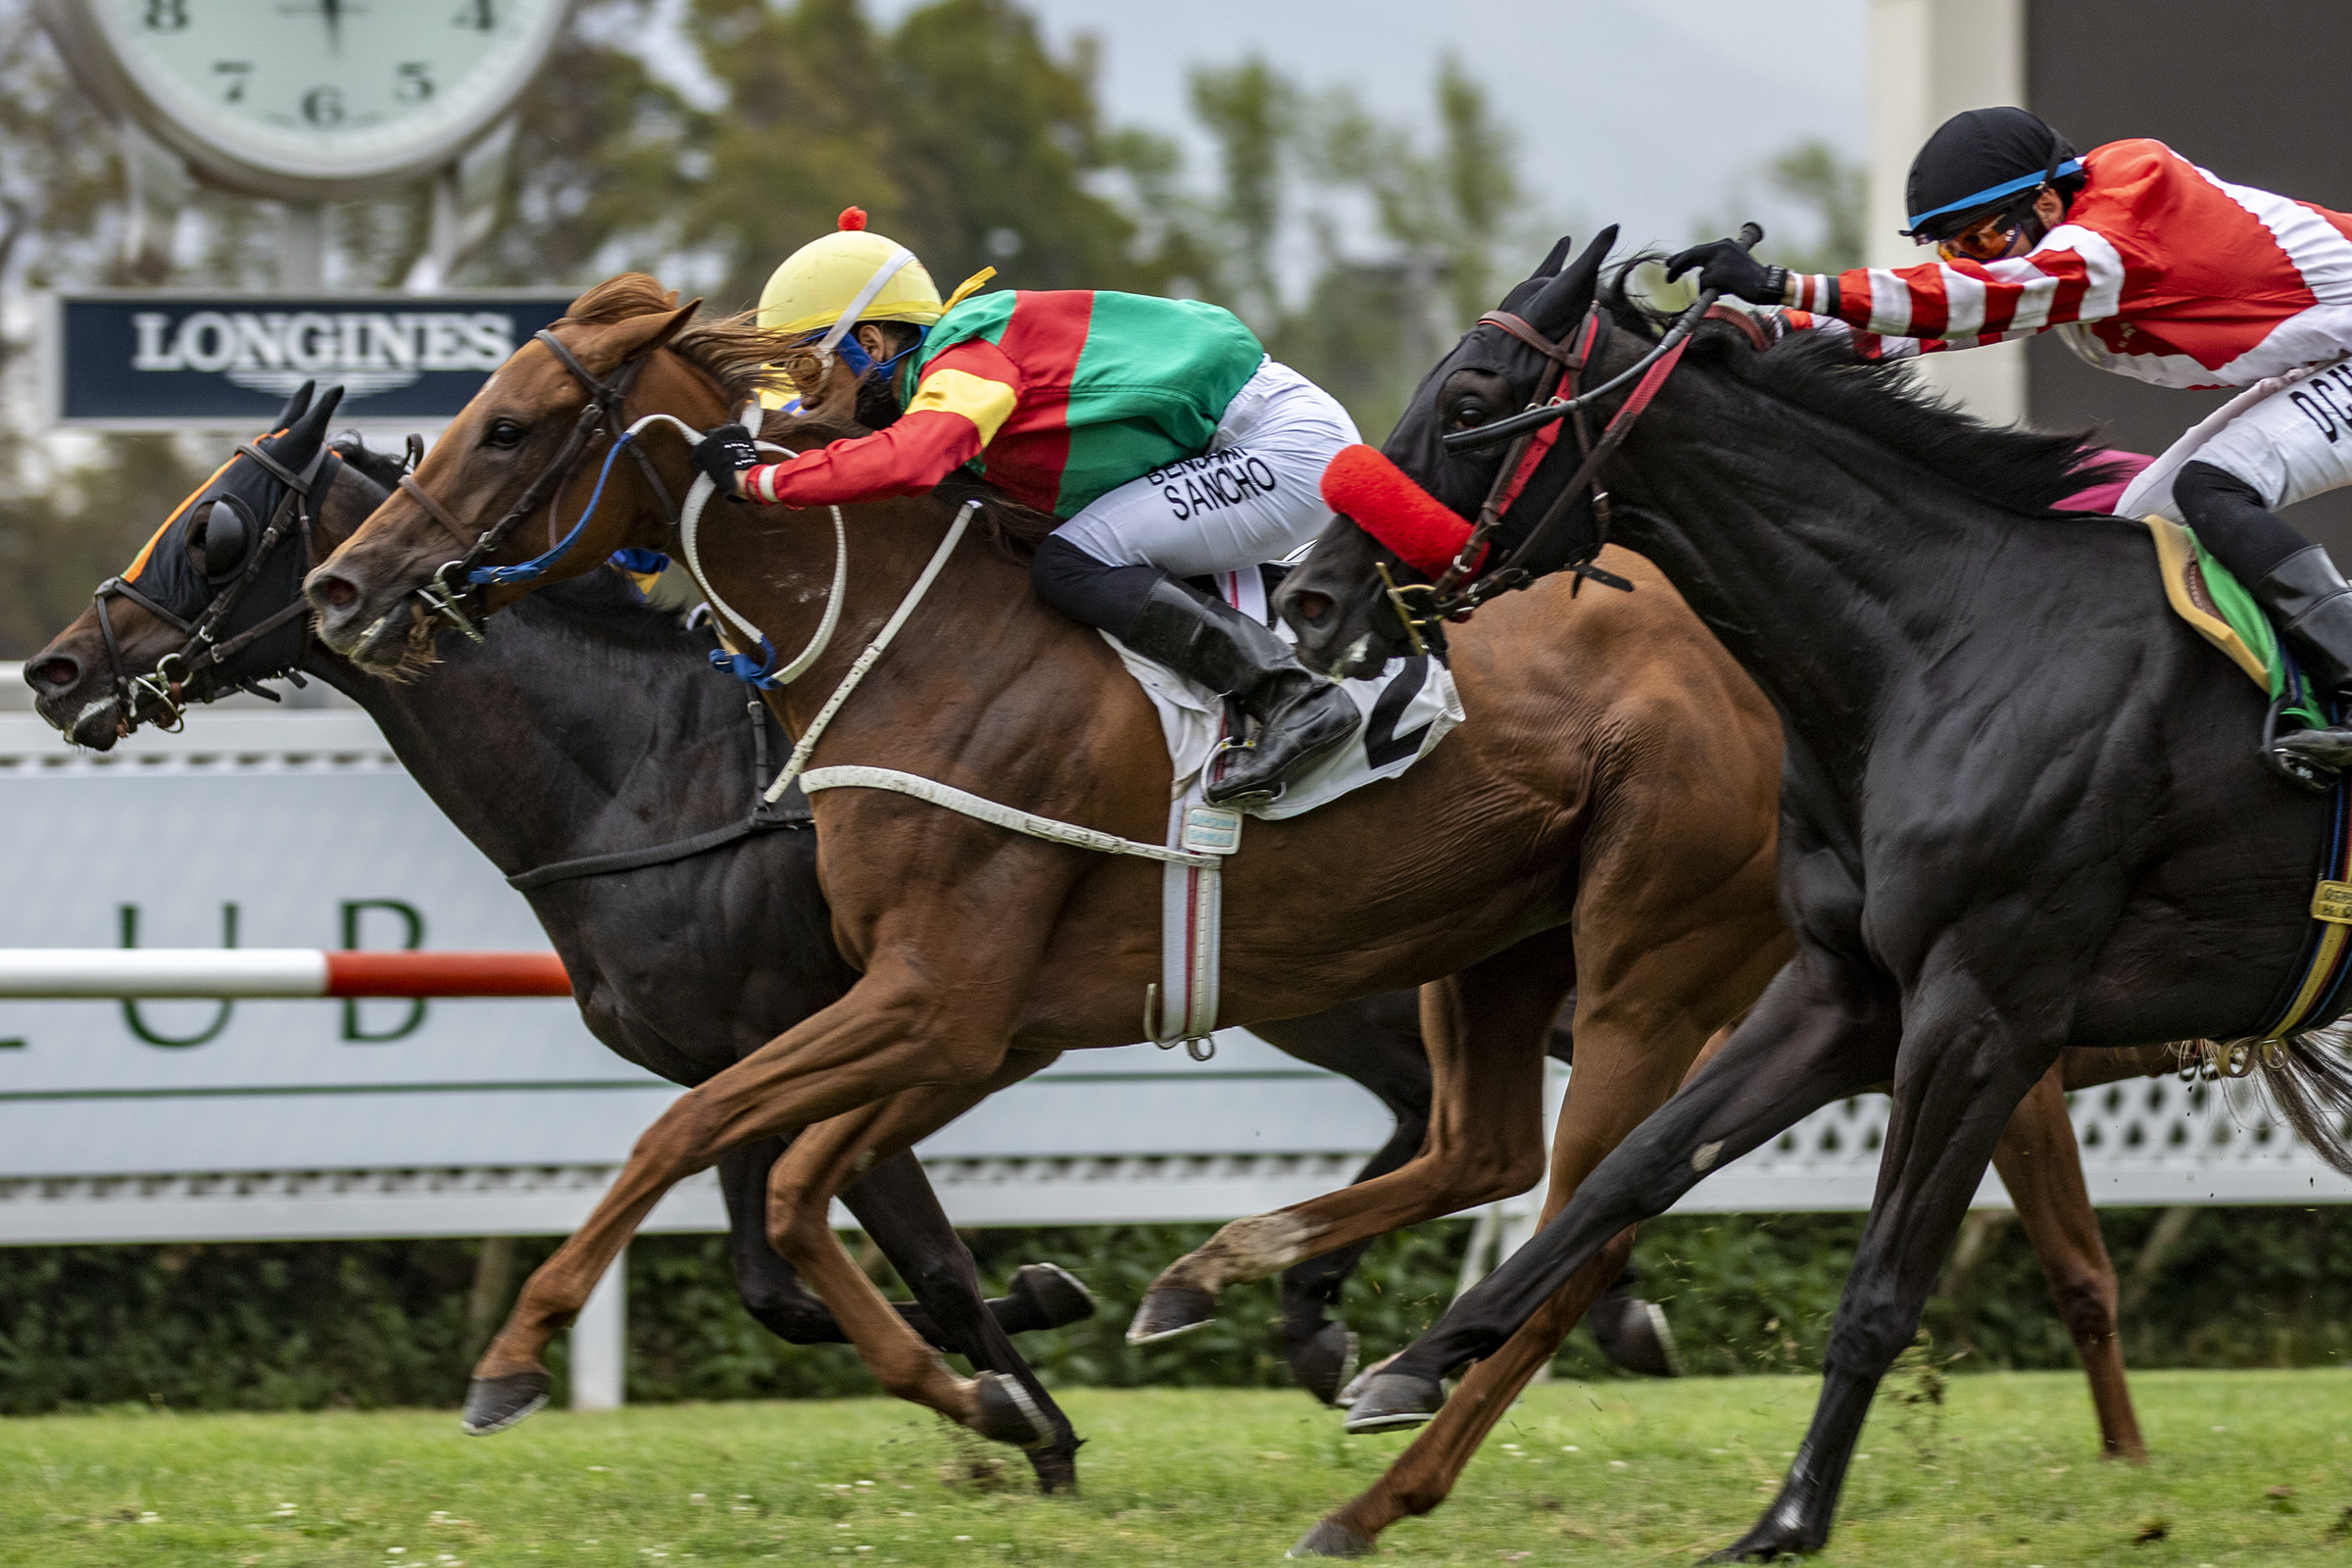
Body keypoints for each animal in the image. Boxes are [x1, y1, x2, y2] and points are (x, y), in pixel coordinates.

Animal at [295, 276, 2160, 1511]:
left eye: (508, 428)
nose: (344, 588)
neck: (898, 640)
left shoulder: (940, 1000)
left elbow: (717, 1143)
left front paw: (518, 1358)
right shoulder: (944, 1017)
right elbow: (791, 1182)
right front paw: (1002, 1388)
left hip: (1646, 951)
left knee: (1579, 1194)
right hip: (1493, 941)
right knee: (1489, 1154)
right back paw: (1246, 1288)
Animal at [1273, 232, 2352, 1560]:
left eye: (1470, 403)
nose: (1311, 596)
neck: (1945, 645)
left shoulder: (1985, 1008)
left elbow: (1883, 1284)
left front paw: (1787, 1517)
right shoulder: (1843, 996)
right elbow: (1630, 1171)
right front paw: (1416, 1361)